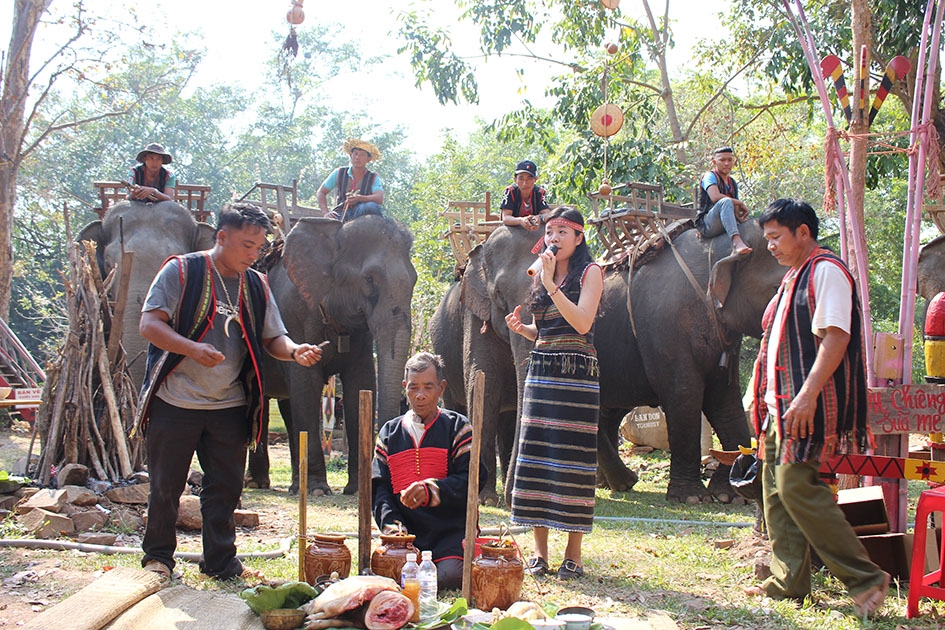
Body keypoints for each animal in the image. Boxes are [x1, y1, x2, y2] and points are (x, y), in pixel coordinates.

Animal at [251, 217, 416, 498]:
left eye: (414, 280)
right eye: (369, 279)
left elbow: (360, 386)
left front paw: (358, 489)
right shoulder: (294, 315)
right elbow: (307, 385)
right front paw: (318, 490)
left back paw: (293, 484)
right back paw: (258, 484)